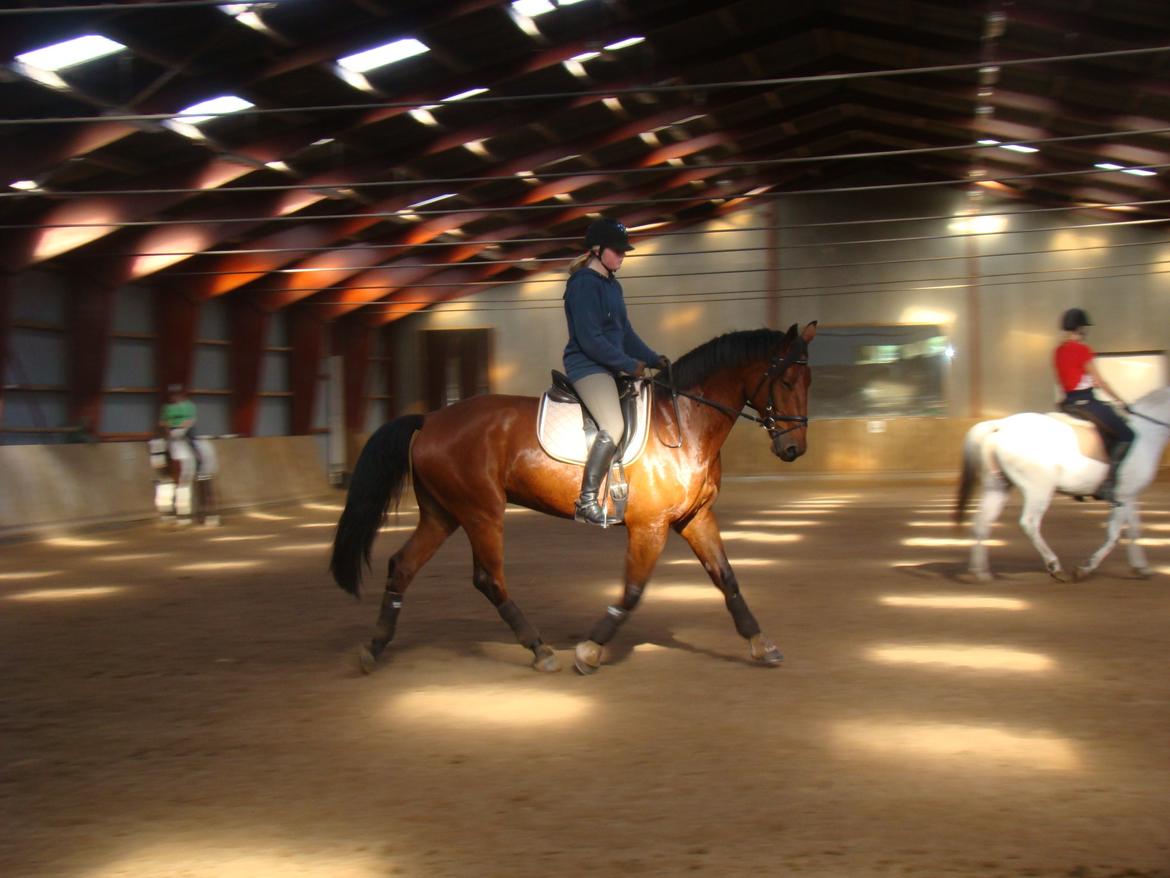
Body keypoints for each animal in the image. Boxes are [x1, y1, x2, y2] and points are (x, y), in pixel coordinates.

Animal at [334, 327, 819, 678]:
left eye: (809, 380)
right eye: (786, 380)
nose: (794, 449)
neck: (684, 423)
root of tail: (431, 418)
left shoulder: (695, 517)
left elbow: (727, 579)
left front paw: (761, 643)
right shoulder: (650, 526)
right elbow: (633, 591)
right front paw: (590, 649)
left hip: (443, 513)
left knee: (403, 566)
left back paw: (374, 648)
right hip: (481, 512)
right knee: (488, 579)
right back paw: (539, 649)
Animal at [950, 386, 1170, 580]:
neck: (1145, 434)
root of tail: (1000, 426)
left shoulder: (1130, 496)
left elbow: (1134, 530)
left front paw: (1141, 568)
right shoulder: (1123, 495)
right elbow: (1114, 535)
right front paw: (1085, 568)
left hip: (997, 487)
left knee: (981, 523)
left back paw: (980, 572)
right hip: (1038, 489)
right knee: (1029, 524)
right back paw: (1054, 566)